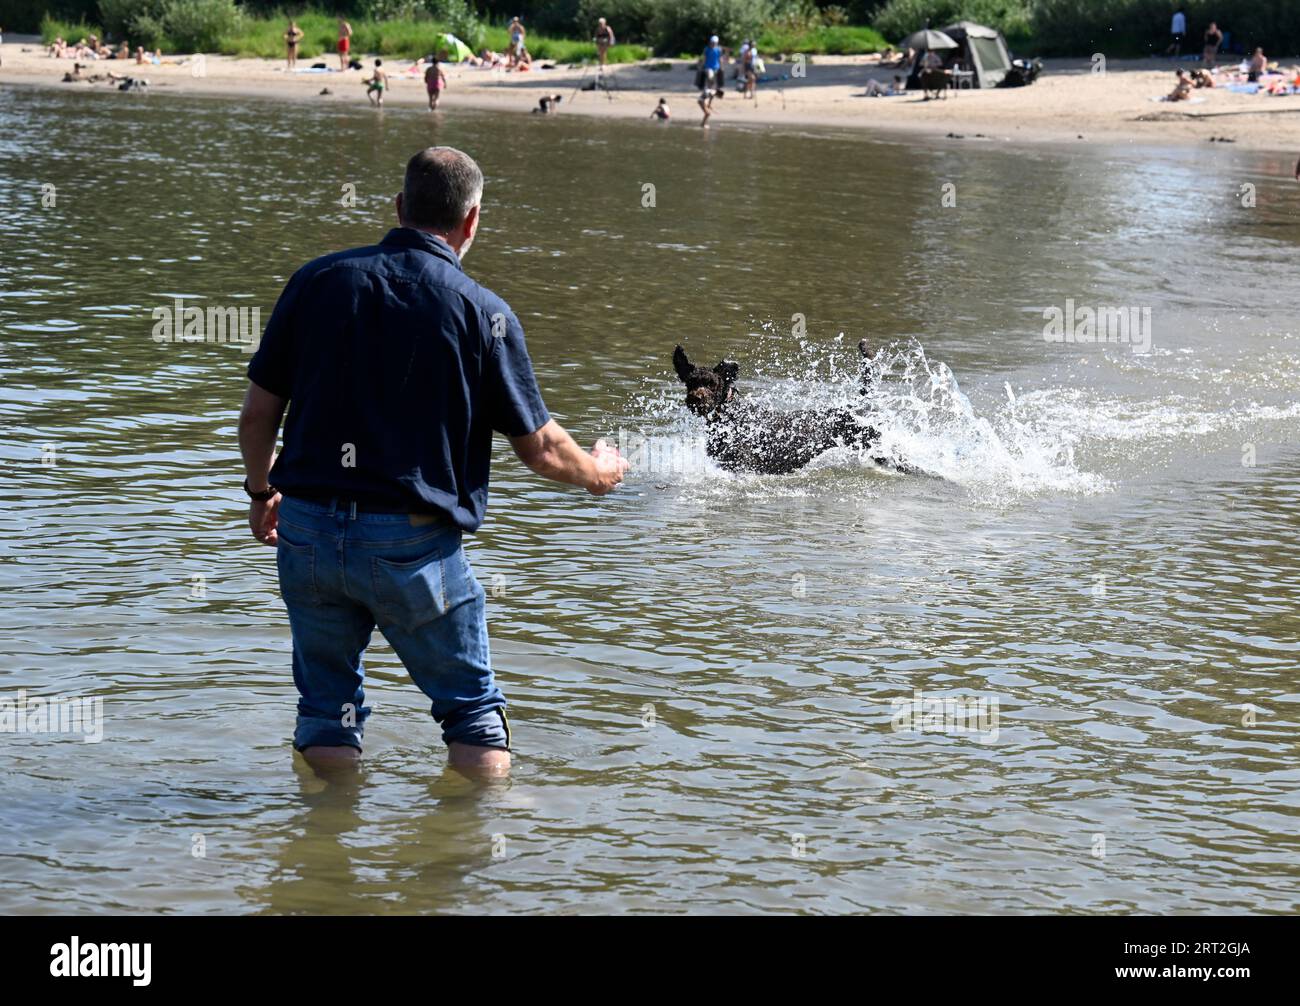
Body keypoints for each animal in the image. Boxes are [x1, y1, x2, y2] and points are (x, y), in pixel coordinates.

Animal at [670, 343, 915, 475]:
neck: (731, 417)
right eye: (690, 383)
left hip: (876, 444)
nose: (695, 399)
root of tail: (849, 408)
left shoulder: (742, 465)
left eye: (711, 384)